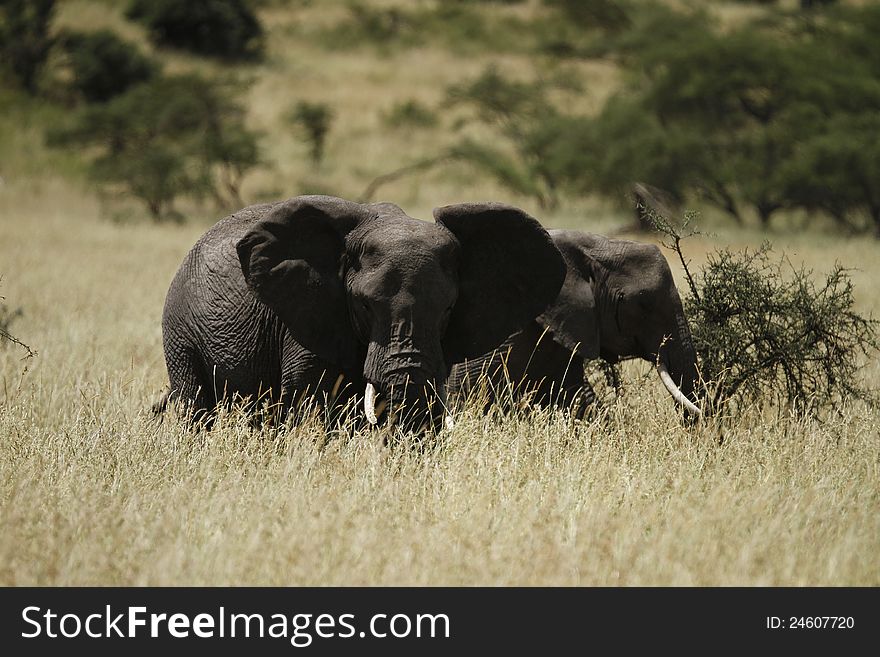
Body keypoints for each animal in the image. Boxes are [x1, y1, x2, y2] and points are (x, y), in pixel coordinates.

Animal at [156, 195, 564, 430]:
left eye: (449, 308)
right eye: (364, 305)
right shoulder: (311, 315)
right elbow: (314, 401)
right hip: (179, 331)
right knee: (195, 406)